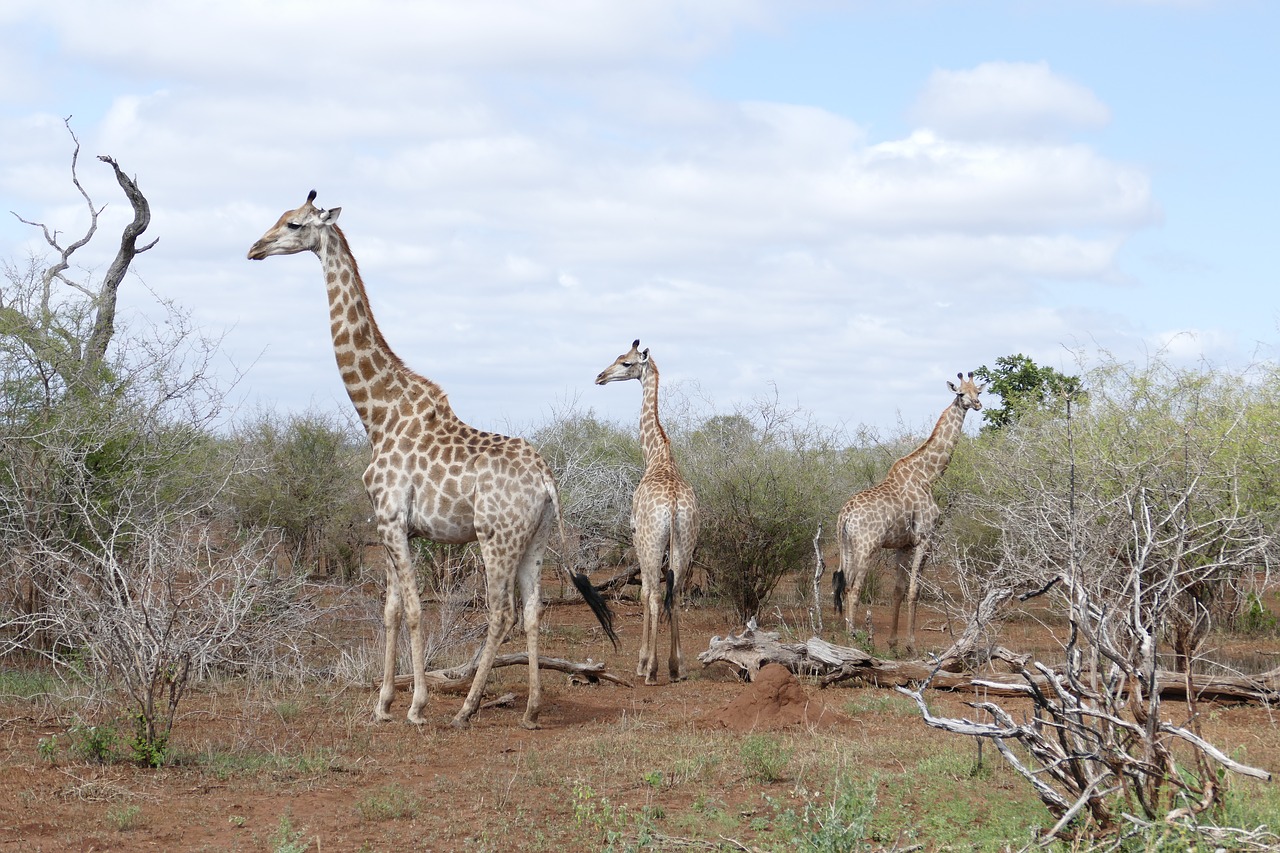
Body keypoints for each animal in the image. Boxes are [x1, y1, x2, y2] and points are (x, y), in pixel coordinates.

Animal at [247, 190, 616, 722]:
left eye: (293, 224)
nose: (254, 248)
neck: (376, 414)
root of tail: (547, 478)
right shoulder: (390, 525)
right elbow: (391, 610)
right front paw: (383, 703)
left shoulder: (392, 519)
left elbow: (416, 609)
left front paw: (416, 705)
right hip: (537, 538)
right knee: (531, 610)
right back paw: (530, 709)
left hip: (496, 537)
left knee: (500, 612)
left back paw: (466, 708)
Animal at [834, 368, 983, 653]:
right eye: (960, 393)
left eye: (978, 391)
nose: (977, 404)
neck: (928, 476)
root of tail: (844, 516)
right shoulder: (925, 538)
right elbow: (914, 590)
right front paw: (911, 645)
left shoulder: (902, 544)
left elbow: (898, 590)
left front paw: (893, 642)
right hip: (866, 546)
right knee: (855, 589)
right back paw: (851, 640)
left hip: (846, 546)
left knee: (844, 585)